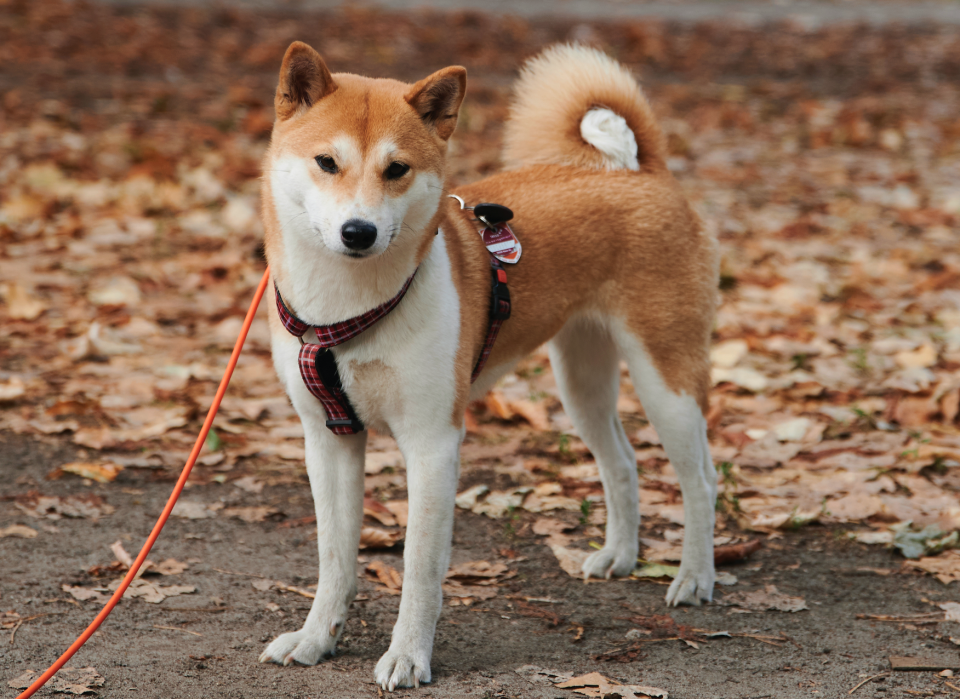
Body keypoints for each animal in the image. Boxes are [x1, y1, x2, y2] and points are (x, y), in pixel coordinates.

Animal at [258, 41, 716, 692]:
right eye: (326, 162)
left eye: (396, 170)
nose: (358, 231)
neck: (347, 310)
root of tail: (640, 172)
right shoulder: (329, 439)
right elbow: (335, 556)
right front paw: (317, 638)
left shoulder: (433, 444)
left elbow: (420, 565)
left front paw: (408, 656)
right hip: (581, 384)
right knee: (622, 463)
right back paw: (620, 556)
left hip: (665, 381)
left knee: (700, 479)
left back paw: (695, 577)